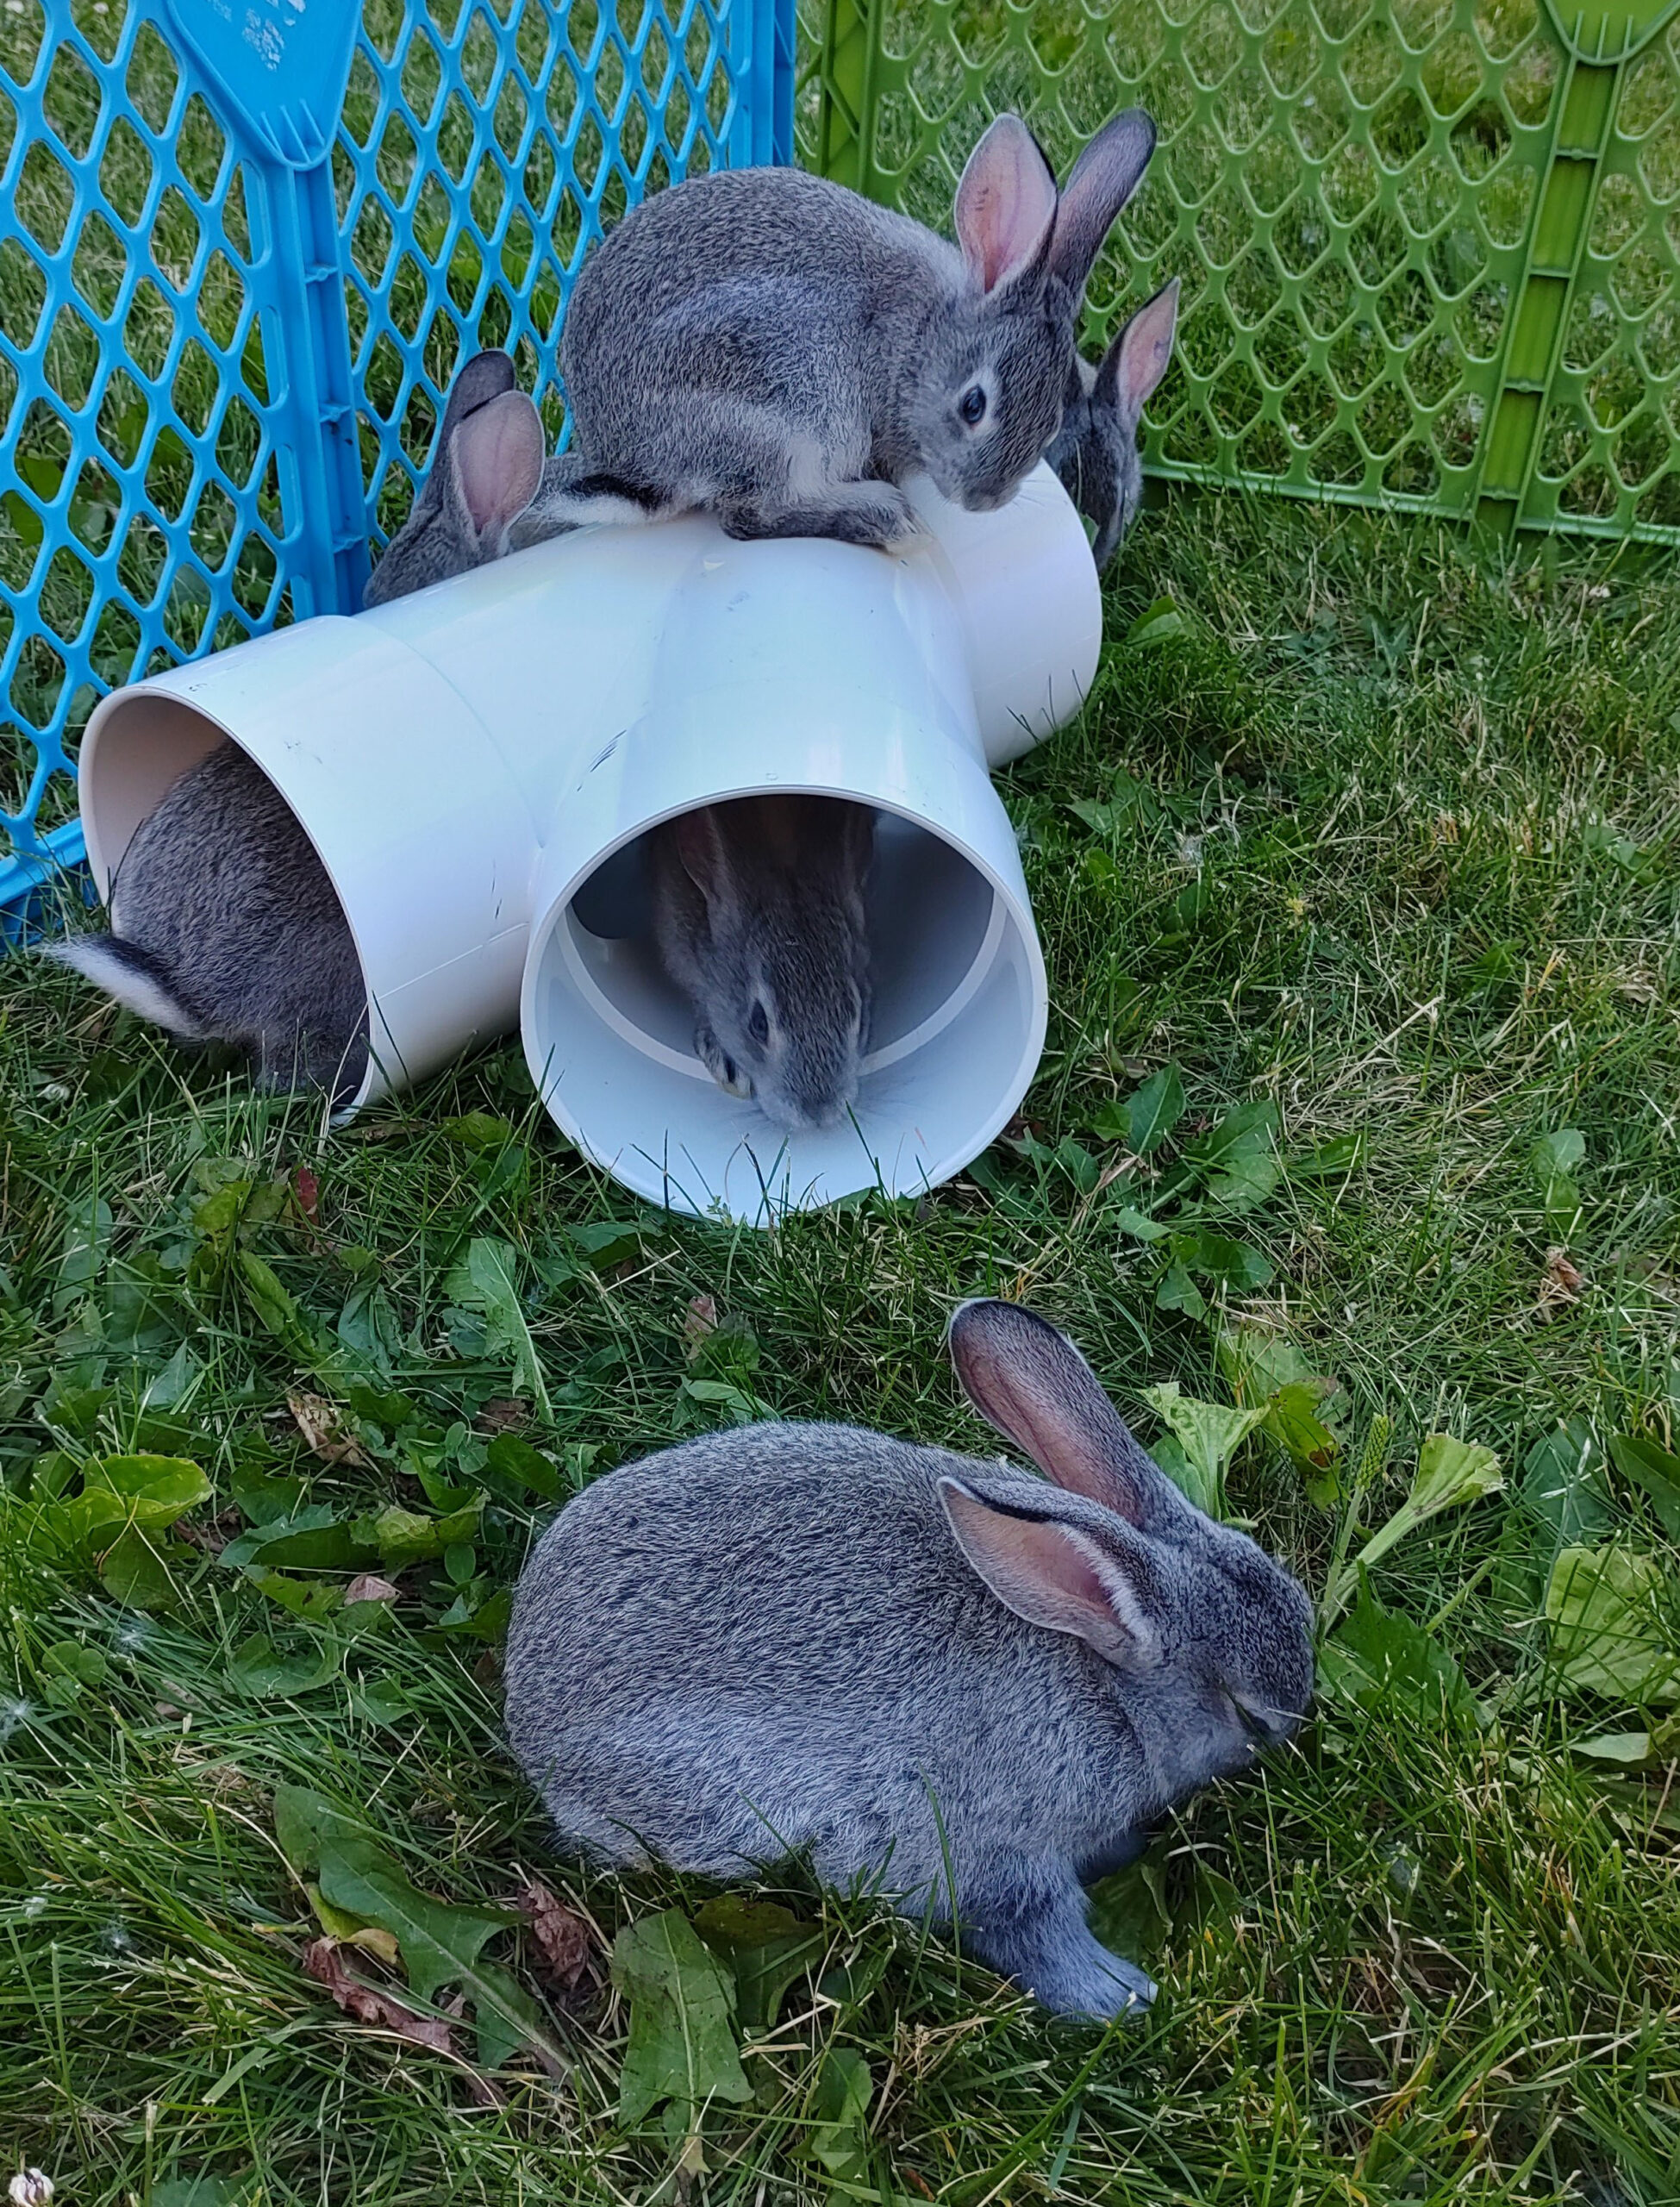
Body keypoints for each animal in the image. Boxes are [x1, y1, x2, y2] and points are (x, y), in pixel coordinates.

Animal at [505, 1297, 1315, 2021]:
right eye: (1246, 1714)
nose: (1293, 1732)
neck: (1106, 1680)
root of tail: (523, 1708)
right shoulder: (980, 1846)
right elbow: (1028, 1925)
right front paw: (1120, 1998)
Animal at [512, 103, 1157, 556]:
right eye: (973, 406)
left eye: (1050, 424)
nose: (982, 500)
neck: (919, 341)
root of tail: (633, 465)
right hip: (789, 407)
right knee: (747, 517)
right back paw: (885, 518)